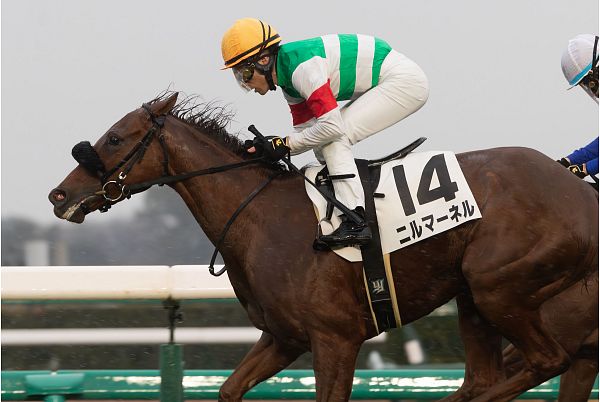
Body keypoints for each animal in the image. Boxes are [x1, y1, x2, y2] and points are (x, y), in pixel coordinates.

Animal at [49, 92, 598, 401]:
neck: (262, 216)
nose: (59, 196)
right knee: (482, 380)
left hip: (498, 287)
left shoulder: (336, 339)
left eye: (116, 138)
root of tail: (582, 195)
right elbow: (228, 389)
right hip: (473, 297)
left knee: (546, 360)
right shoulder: (284, 338)